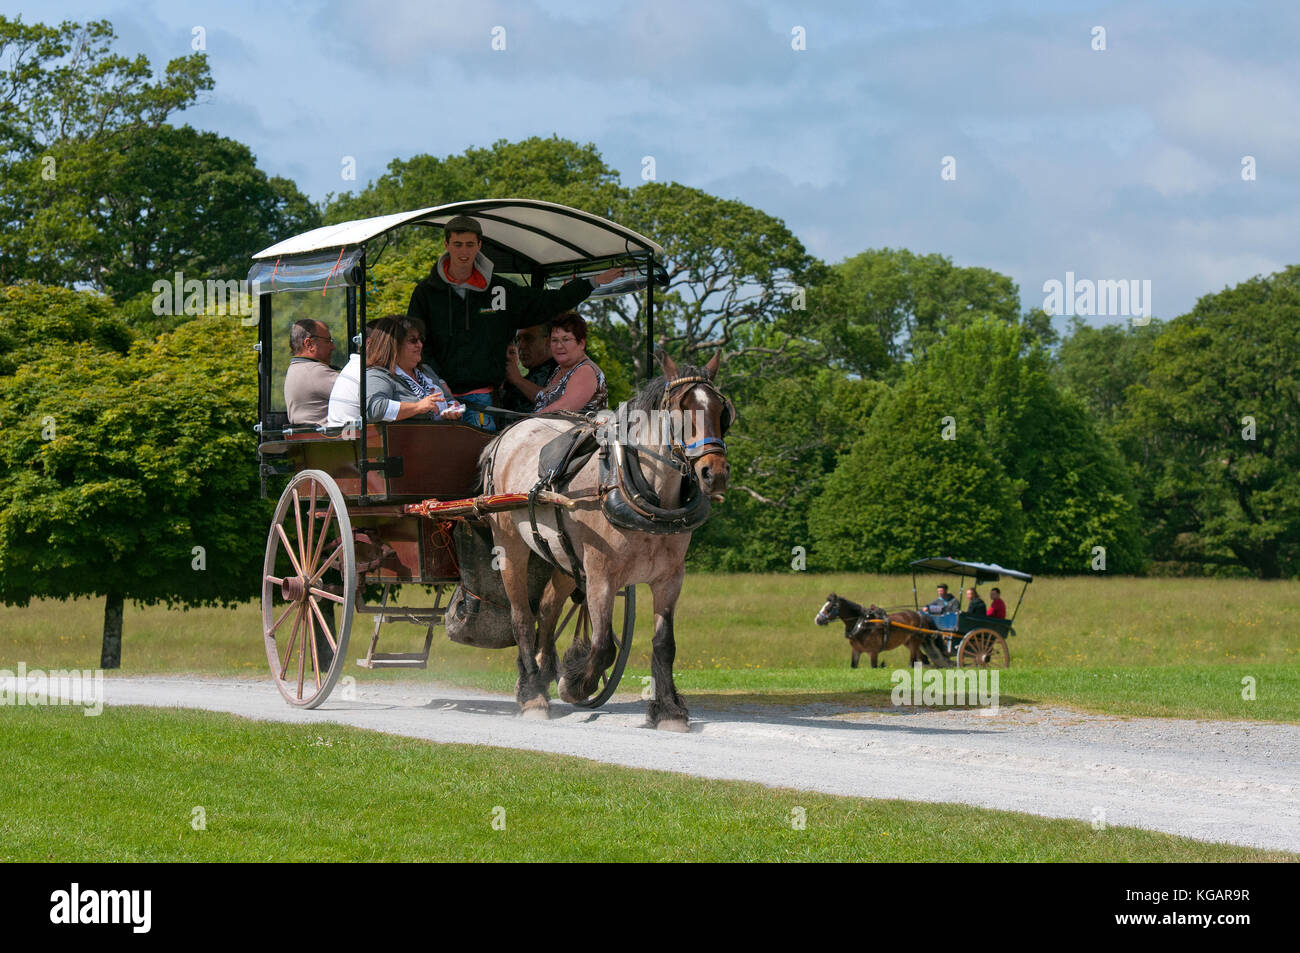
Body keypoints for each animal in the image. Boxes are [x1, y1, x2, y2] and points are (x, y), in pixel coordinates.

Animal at [480, 348, 733, 728]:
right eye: (680, 410)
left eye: (722, 411)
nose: (713, 473)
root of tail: (509, 431)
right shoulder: (601, 575)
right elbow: (603, 645)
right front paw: (574, 684)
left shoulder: (670, 578)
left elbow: (664, 644)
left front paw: (668, 711)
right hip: (510, 544)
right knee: (522, 617)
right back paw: (532, 694)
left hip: (566, 557)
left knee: (548, 608)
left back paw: (541, 673)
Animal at [811, 590, 946, 665]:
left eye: (829, 608)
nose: (817, 620)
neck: (864, 623)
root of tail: (920, 615)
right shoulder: (856, 651)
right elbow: (853, 666)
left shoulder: (873, 652)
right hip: (908, 643)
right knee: (923, 658)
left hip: (914, 643)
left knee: (913, 662)